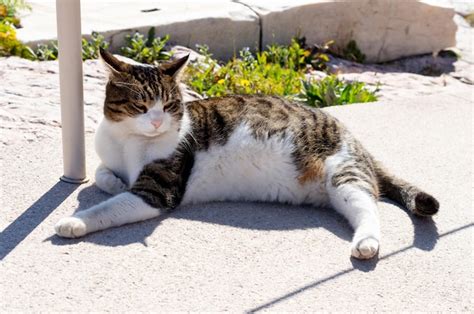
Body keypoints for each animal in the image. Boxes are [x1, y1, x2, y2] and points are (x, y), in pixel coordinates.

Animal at [55, 48, 440, 260]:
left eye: (169, 105)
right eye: (140, 105)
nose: (157, 121)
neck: (127, 141)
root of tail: (352, 135)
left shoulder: (158, 191)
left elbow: (108, 208)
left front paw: (74, 222)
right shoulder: (111, 159)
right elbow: (103, 175)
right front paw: (116, 182)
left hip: (345, 176)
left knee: (370, 211)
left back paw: (367, 244)